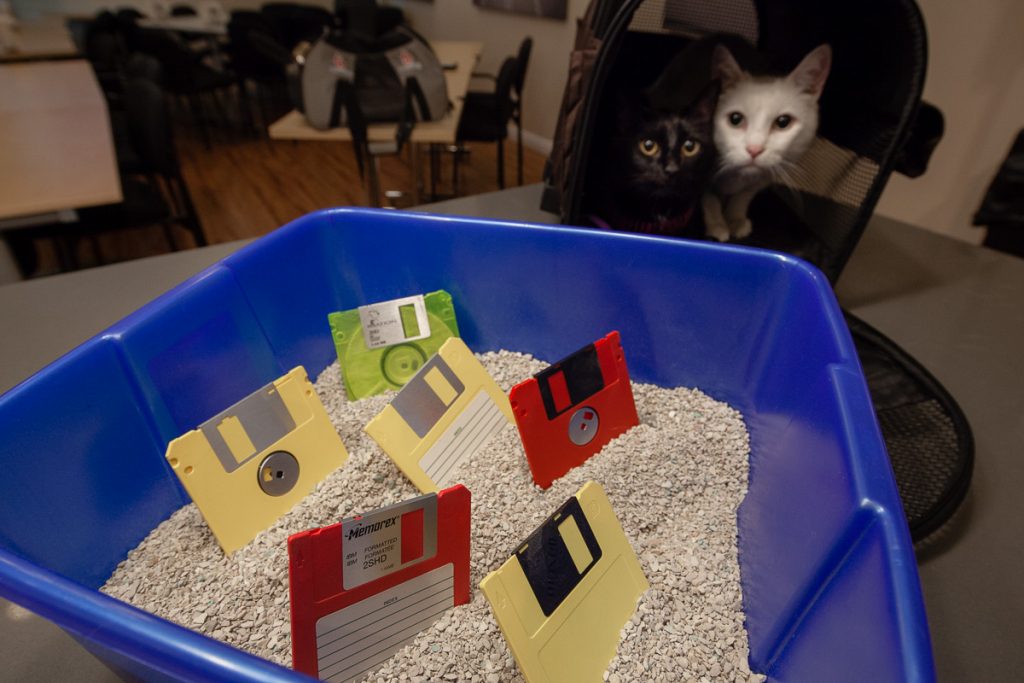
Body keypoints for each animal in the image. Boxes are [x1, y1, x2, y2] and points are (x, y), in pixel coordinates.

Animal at [704, 43, 831, 242]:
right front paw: (717, 225)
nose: (754, 149)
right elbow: (709, 199)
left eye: (783, 122)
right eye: (735, 119)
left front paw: (735, 219)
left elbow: (743, 196)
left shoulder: (765, 177)